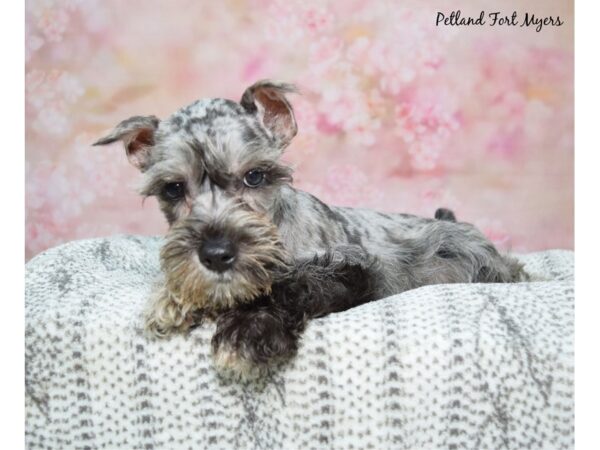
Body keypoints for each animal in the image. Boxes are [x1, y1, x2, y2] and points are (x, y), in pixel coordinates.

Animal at [92, 80, 524, 376]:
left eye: (254, 176)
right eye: (173, 188)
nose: (216, 255)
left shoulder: (352, 269)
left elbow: (293, 284)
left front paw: (246, 332)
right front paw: (174, 299)